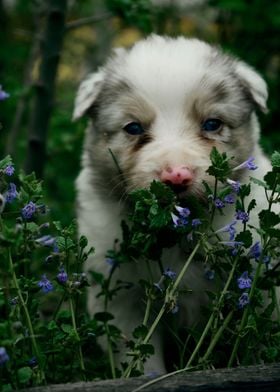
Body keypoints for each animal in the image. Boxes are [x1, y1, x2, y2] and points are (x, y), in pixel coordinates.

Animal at [73, 35, 272, 372]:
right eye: (134, 128)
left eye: (212, 124)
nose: (176, 176)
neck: (176, 233)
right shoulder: (124, 299)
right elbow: (141, 354)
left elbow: (257, 336)